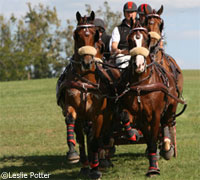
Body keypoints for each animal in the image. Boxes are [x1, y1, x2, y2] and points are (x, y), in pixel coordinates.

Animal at [116, 22, 187, 176]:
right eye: (130, 40)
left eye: (145, 40)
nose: (139, 65)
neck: (142, 84)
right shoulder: (139, 116)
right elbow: (125, 116)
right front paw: (133, 134)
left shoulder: (154, 115)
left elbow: (154, 140)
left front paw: (153, 168)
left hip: (170, 108)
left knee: (167, 123)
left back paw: (167, 147)